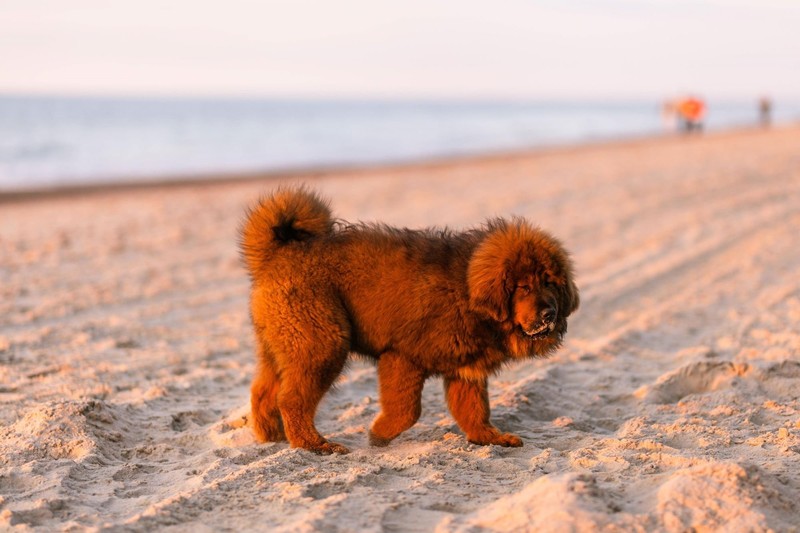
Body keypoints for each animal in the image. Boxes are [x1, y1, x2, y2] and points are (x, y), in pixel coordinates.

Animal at [241, 187, 580, 454]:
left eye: (550, 283)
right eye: (523, 287)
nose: (549, 314)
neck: (468, 290)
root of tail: (278, 252)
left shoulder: (465, 370)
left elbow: (474, 411)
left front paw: (489, 438)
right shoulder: (403, 357)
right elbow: (408, 410)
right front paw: (378, 435)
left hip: (285, 344)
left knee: (263, 391)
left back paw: (272, 436)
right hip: (322, 343)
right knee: (292, 399)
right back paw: (313, 444)